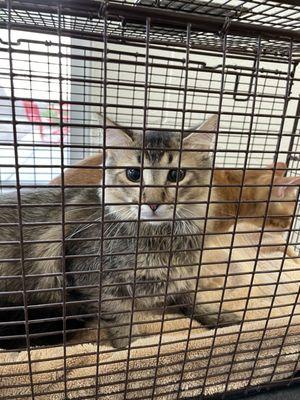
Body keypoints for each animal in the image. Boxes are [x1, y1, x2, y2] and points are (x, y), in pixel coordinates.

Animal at [0, 114, 241, 348]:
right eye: (133, 174)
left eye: (176, 175)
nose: (153, 203)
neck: (160, 239)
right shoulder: (95, 279)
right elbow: (122, 319)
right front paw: (133, 347)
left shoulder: (182, 277)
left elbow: (194, 299)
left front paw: (221, 318)